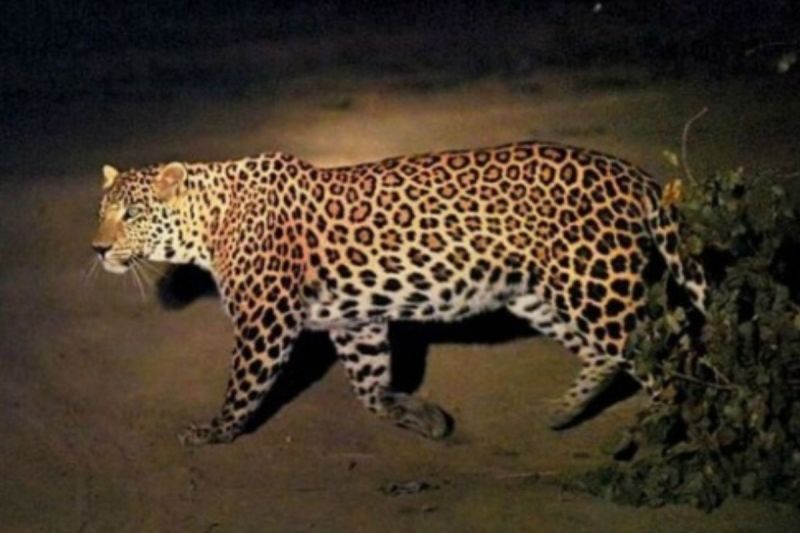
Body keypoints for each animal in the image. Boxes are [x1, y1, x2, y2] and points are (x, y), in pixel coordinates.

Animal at [92, 140, 706, 446]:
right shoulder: (354, 320)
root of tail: (630, 174)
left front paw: (215, 431)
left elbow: (244, 385)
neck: (208, 223)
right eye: (101, 211)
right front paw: (421, 416)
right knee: (612, 353)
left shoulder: (267, 320)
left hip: (593, 283)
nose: (96, 249)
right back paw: (562, 411)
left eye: (131, 215)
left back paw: (663, 430)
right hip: (541, 292)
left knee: (665, 351)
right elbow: (369, 387)